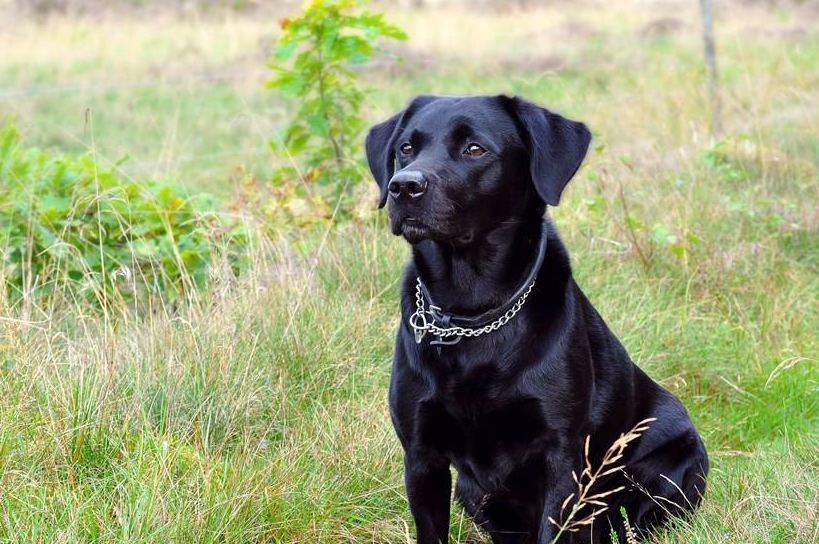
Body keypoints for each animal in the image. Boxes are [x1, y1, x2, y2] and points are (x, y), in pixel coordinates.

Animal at [368, 95, 708, 540]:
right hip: (471, 491)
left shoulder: (560, 456)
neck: (472, 313)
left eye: (475, 149)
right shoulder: (422, 457)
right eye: (406, 148)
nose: (404, 186)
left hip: (670, 468)